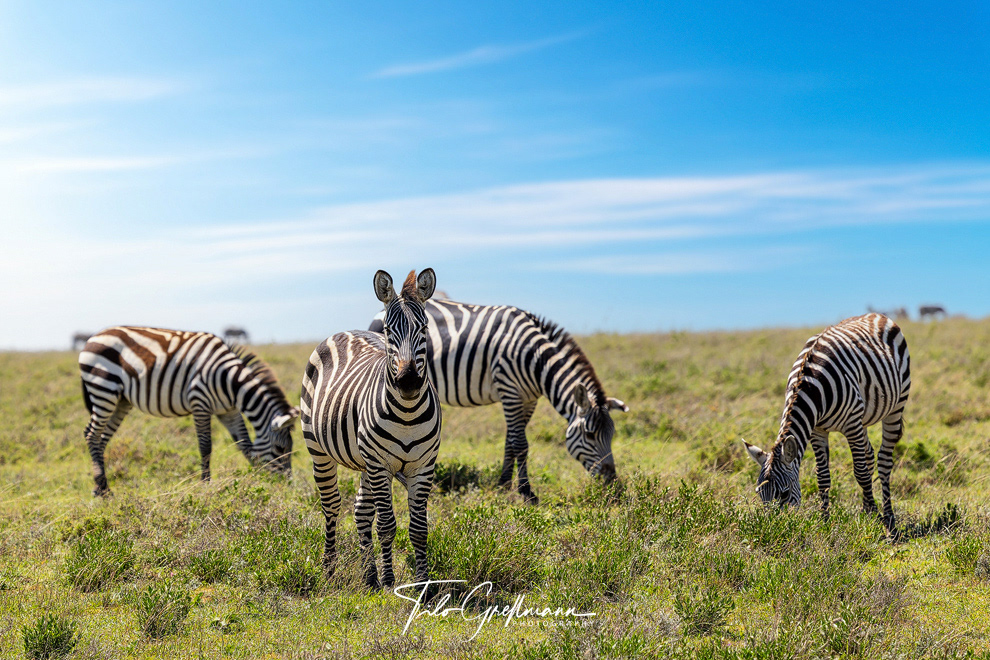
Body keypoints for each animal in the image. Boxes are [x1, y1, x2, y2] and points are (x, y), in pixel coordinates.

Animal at [78, 326, 299, 496]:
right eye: (280, 449)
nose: (287, 486)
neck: (231, 383)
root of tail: (93, 337)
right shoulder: (200, 403)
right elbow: (205, 447)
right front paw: (206, 484)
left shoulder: (229, 411)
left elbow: (244, 444)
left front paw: (255, 477)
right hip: (104, 388)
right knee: (91, 434)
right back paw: (103, 489)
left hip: (120, 400)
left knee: (101, 437)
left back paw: (101, 486)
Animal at [301, 269, 441, 588]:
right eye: (389, 330)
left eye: (424, 328)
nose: (408, 381)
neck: (408, 413)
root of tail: (346, 331)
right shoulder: (380, 464)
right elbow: (387, 525)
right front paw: (390, 582)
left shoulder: (423, 466)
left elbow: (419, 530)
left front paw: (422, 586)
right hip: (320, 451)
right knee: (331, 506)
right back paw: (330, 569)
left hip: (366, 461)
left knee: (361, 511)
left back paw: (369, 576)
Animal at [370, 299, 628, 504]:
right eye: (590, 435)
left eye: (612, 435)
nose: (612, 483)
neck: (536, 359)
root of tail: (380, 312)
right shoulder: (509, 391)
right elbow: (521, 444)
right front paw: (527, 492)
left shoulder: (528, 400)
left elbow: (509, 442)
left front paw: (504, 484)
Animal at [743, 313, 910, 533]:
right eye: (759, 494)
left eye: (784, 494)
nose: (771, 529)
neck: (810, 387)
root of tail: (876, 314)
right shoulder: (817, 429)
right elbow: (823, 477)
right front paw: (824, 520)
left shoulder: (851, 423)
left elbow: (861, 473)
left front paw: (875, 518)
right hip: (864, 416)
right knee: (869, 454)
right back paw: (866, 509)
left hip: (896, 406)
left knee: (883, 461)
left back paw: (888, 518)